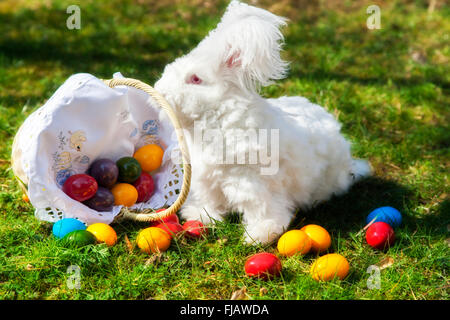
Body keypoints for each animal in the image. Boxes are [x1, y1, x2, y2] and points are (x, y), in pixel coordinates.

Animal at [153, 0, 370, 245]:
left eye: (195, 79)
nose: (159, 92)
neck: (217, 118)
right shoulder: (206, 180)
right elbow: (209, 202)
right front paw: (201, 216)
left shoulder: (252, 184)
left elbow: (262, 210)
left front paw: (259, 235)